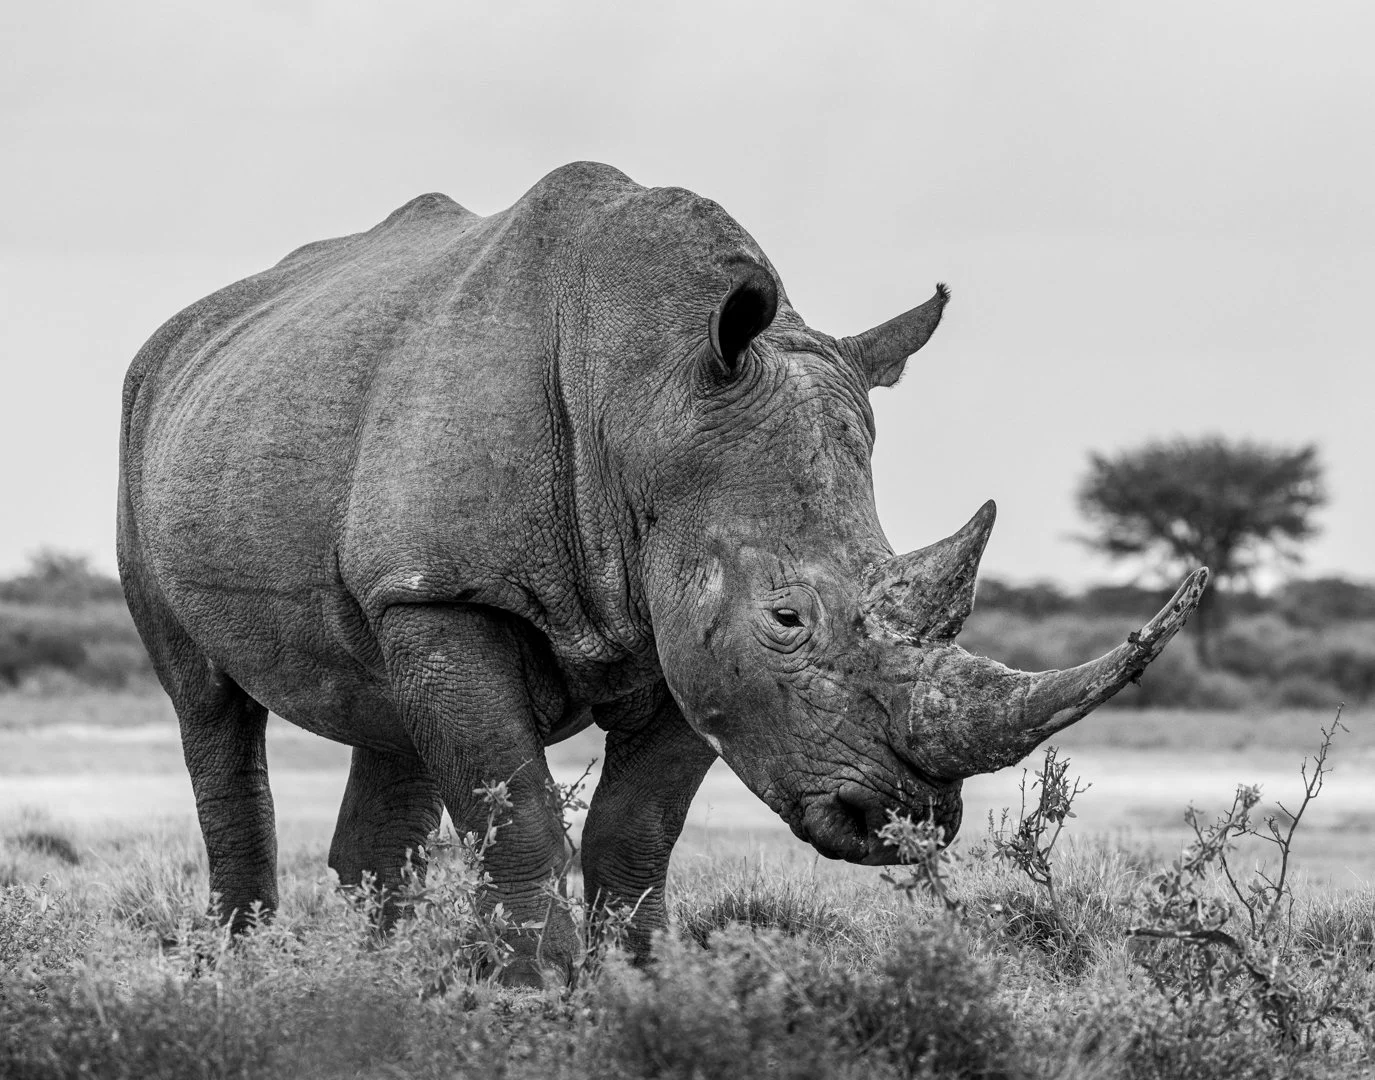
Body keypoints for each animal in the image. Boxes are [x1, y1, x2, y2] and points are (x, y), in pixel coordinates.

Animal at [117, 161, 1206, 983]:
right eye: (786, 619)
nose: (906, 820)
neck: (646, 401)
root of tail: (184, 334)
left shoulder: (682, 628)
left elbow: (635, 835)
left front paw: (639, 987)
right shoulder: (457, 590)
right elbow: (519, 818)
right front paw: (535, 994)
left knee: (387, 718)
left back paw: (368, 983)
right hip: (150, 418)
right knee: (210, 711)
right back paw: (248, 974)